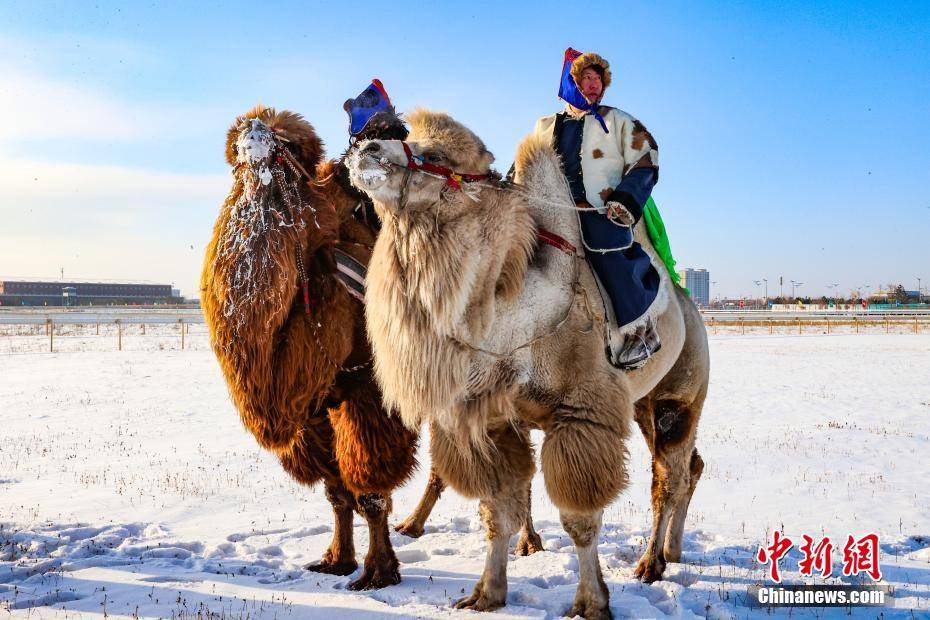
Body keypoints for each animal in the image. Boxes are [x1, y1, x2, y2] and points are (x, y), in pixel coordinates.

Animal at [203, 106, 420, 592]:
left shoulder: (367, 393)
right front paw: (336, 560)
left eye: (287, 149)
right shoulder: (314, 412)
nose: (255, 136)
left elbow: (370, 490)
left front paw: (378, 573)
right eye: (235, 155)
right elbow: (337, 491)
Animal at [350, 109, 712, 616]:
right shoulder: (493, 419)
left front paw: (591, 602)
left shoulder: (582, 413)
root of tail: (691, 308)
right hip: (642, 406)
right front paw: (485, 594)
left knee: (669, 476)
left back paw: (650, 563)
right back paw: (671, 552)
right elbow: (498, 509)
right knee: (690, 466)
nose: (365, 147)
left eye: (435, 152)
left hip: (679, 396)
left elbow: (579, 518)